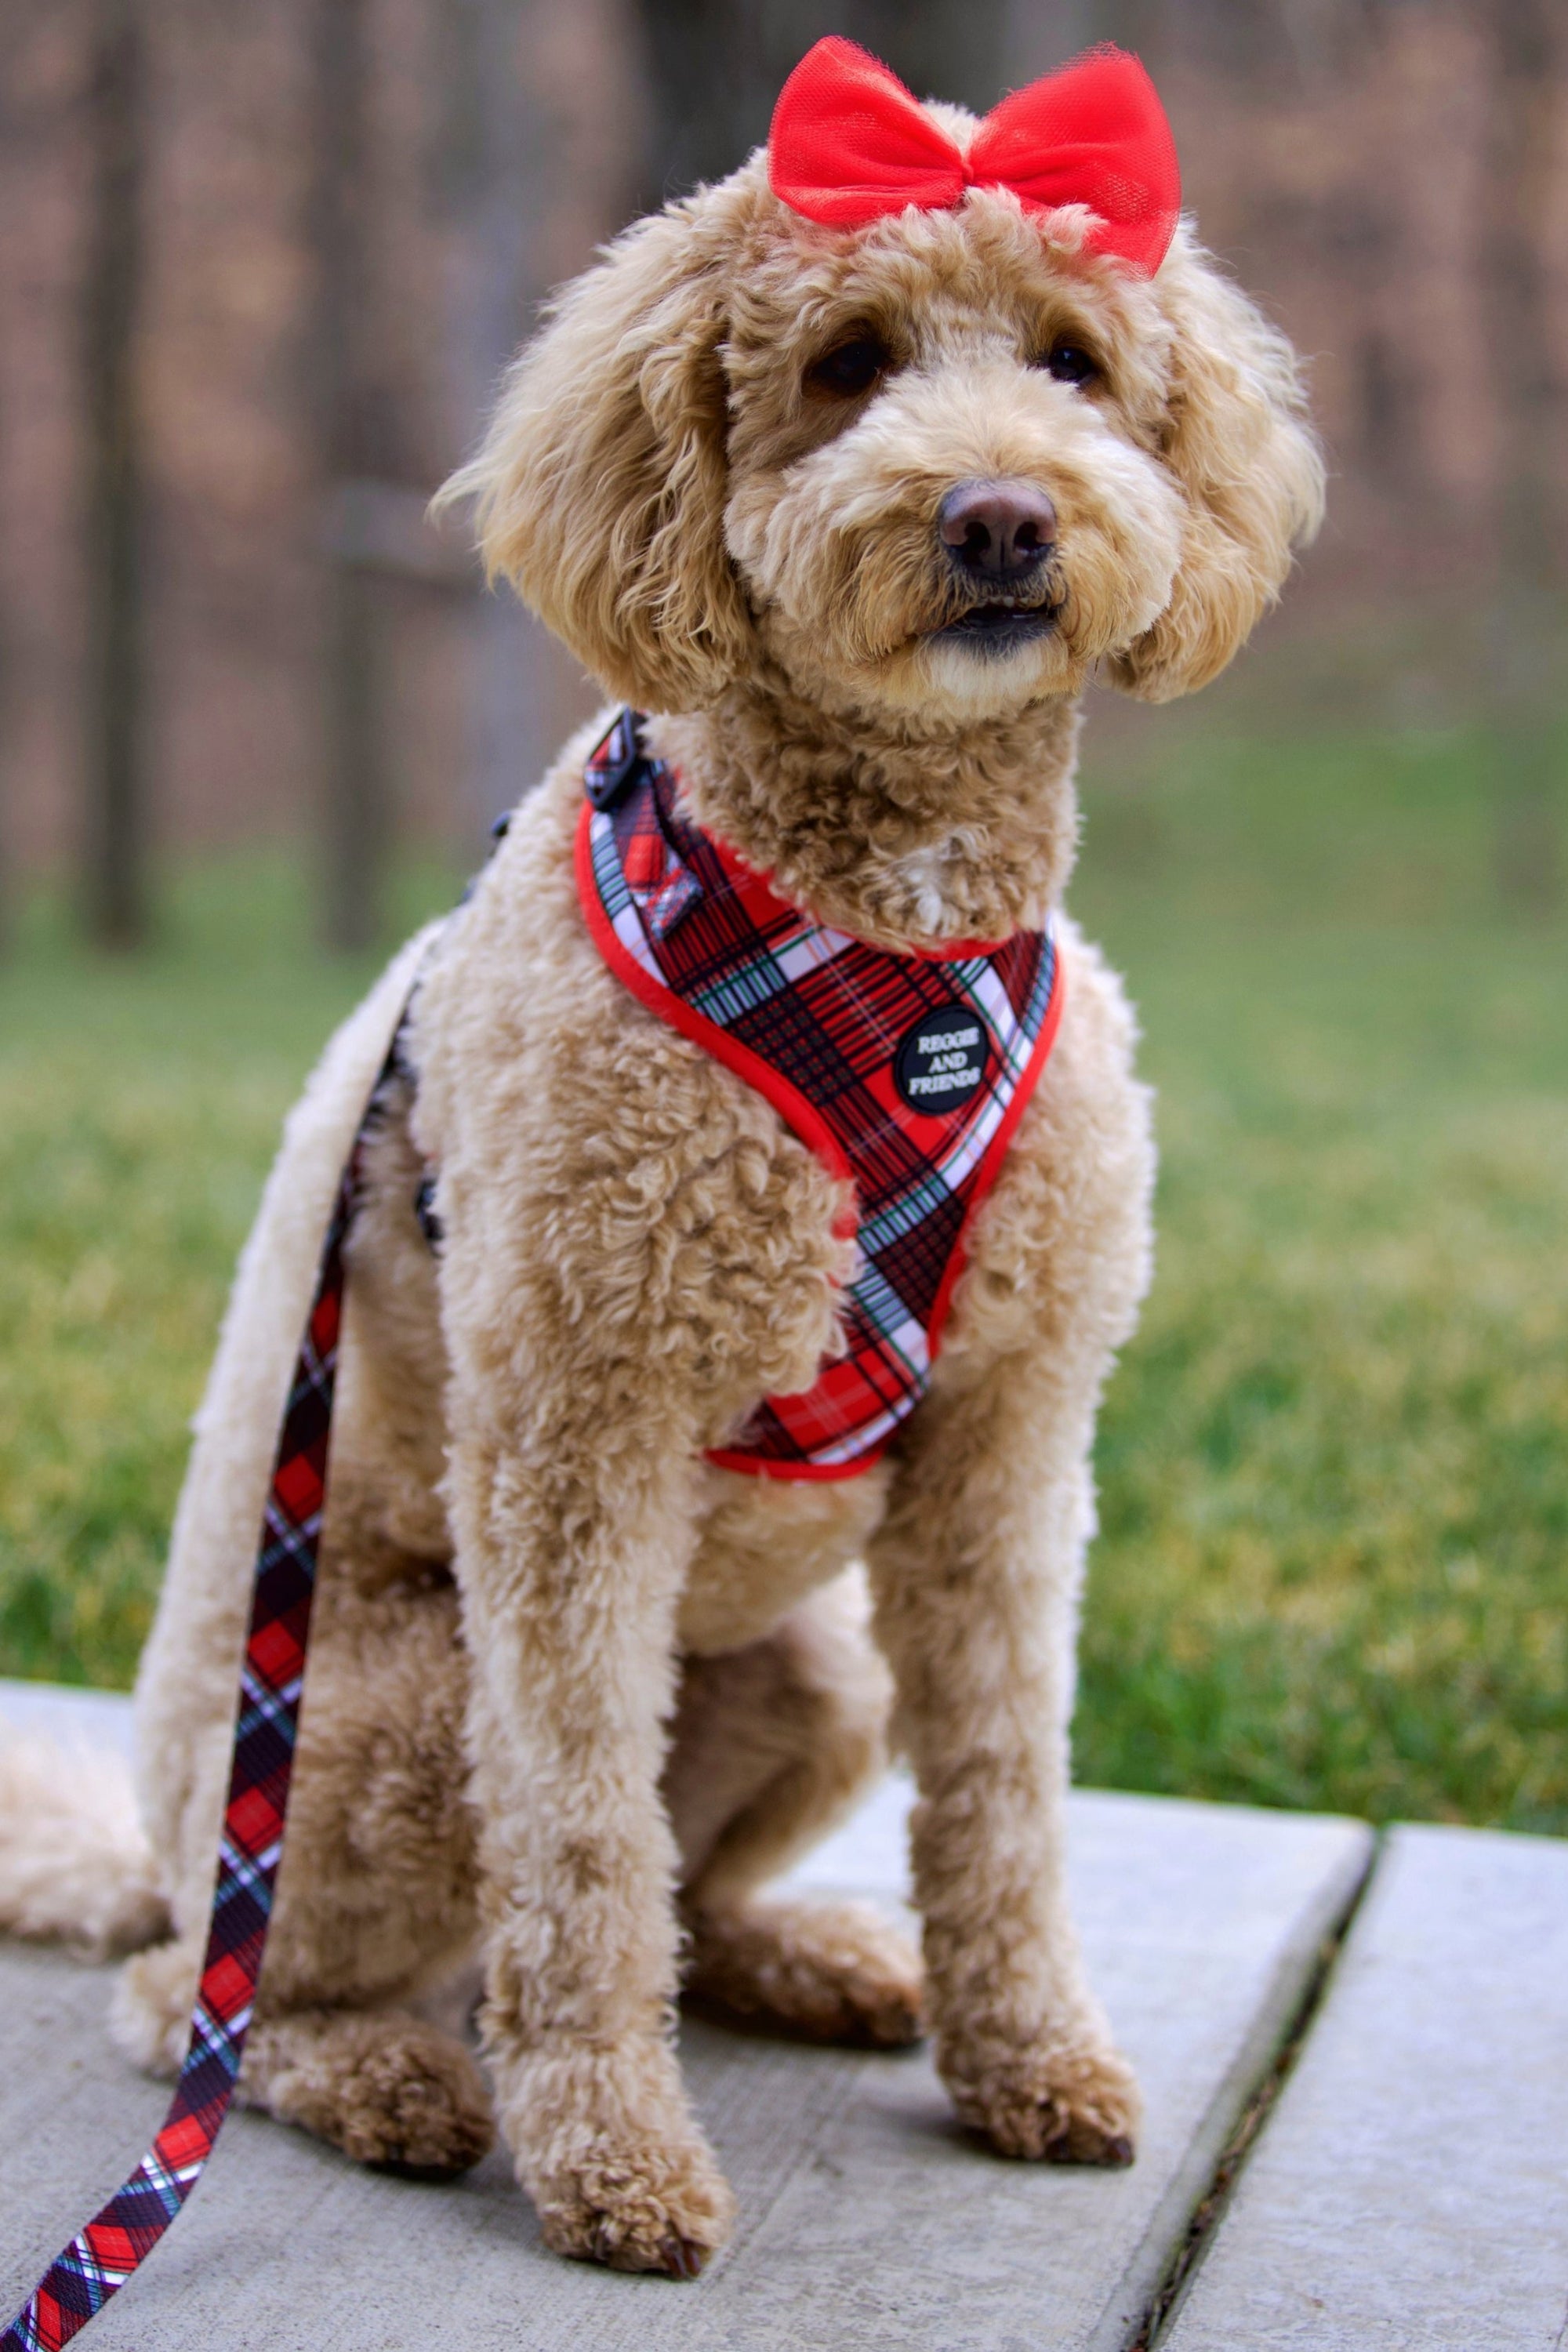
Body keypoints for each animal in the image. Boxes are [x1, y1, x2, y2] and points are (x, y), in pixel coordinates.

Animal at [0, 32, 1326, 2277]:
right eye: (846, 365)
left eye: (1071, 363)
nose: (998, 515)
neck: (891, 935)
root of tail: (159, 1836)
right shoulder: (574, 1444)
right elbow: (576, 1854)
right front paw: (611, 2158)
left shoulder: (1006, 1450)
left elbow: (1003, 1794)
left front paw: (1026, 2057)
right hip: (374, 1719)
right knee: (214, 1996)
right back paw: (390, 2077)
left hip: (810, 1666)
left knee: (694, 1894)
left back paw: (812, 1959)